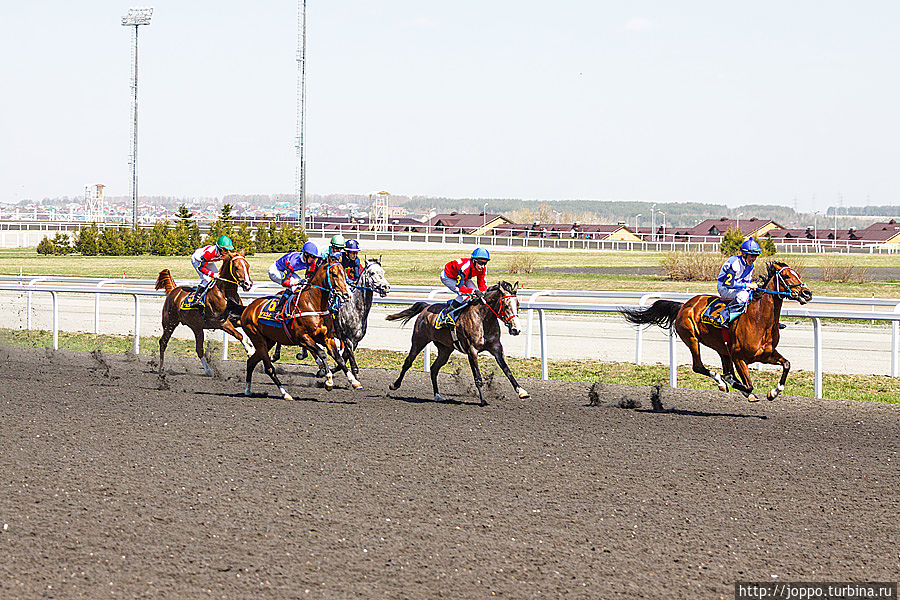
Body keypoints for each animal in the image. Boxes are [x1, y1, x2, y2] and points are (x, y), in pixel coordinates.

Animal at [154, 248, 253, 376]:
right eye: (236, 267)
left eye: (247, 265)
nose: (248, 284)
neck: (225, 293)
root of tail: (174, 290)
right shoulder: (221, 323)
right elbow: (239, 335)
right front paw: (250, 350)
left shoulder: (234, 319)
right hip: (170, 323)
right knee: (163, 342)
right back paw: (161, 368)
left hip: (197, 327)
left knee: (199, 349)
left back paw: (208, 370)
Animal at [239, 253, 358, 398]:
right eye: (334, 274)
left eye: (345, 274)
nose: (347, 294)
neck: (312, 304)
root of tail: (247, 309)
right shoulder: (302, 338)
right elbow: (322, 353)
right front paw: (328, 380)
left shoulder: (327, 338)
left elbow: (339, 358)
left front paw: (354, 381)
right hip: (258, 339)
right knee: (269, 369)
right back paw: (285, 393)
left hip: (269, 341)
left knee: (251, 362)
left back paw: (248, 390)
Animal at [384, 282, 528, 408]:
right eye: (505, 305)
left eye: (518, 305)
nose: (516, 329)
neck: (483, 319)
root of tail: (425, 308)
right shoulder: (472, 351)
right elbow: (477, 377)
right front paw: (483, 400)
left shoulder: (496, 348)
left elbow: (507, 370)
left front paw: (522, 391)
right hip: (419, 340)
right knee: (408, 362)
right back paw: (394, 385)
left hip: (445, 349)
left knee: (434, 368)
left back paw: (437, 396)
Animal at [624, 260, 812, 400]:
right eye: (786, 276)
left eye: (798, 274)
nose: (807, 293)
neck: (759, 321)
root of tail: (684, 305)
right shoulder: (738, 356)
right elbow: (748, 384)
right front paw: (740, 388)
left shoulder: (765, 354)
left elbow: (786, 364)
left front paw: (773, 392)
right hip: (691, 338)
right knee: (699, 367)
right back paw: (721, 382)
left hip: (722, 348)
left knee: (723, 370)